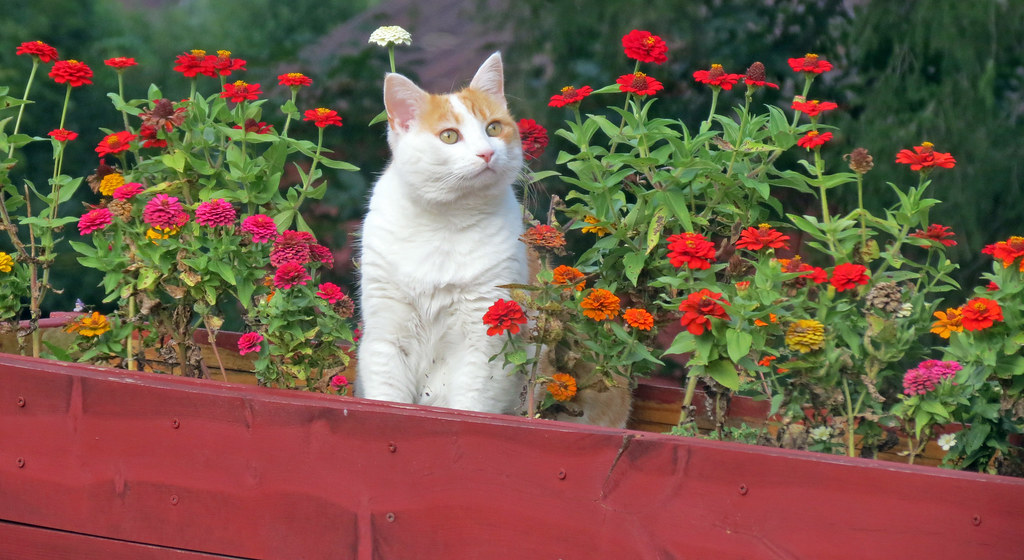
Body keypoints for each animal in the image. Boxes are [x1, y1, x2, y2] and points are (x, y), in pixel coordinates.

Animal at [356, 52, 528, 413]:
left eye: (493, 128)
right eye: (449, 136)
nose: (487, 152)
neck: (445, 221)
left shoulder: (483, 339)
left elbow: (469, 405)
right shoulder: (386, 335)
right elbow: (387, 399)